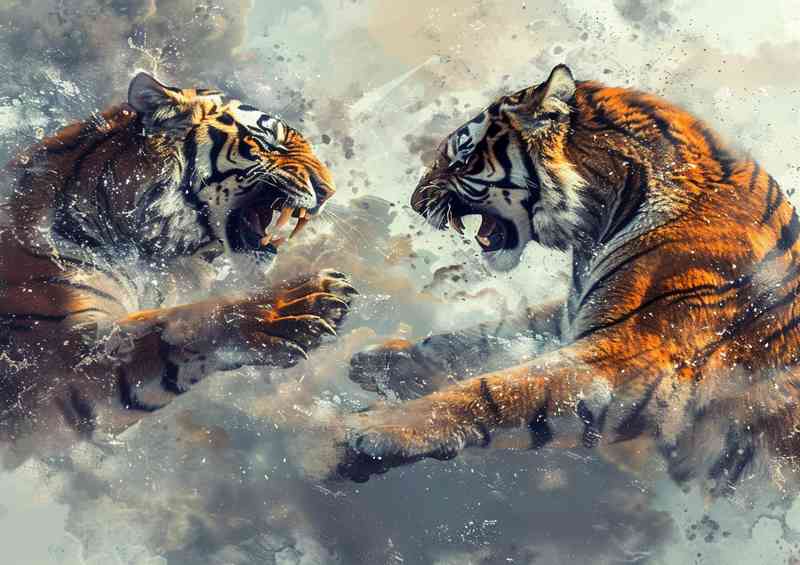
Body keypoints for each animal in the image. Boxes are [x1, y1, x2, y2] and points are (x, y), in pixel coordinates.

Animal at [339, 64, 800, 495]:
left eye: (462, 159)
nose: (415, 203)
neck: (601, 223)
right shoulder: (574, 312)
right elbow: (477, 335)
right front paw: (386, 361)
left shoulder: (630, 356)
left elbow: (500, 390)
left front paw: (382, 427)